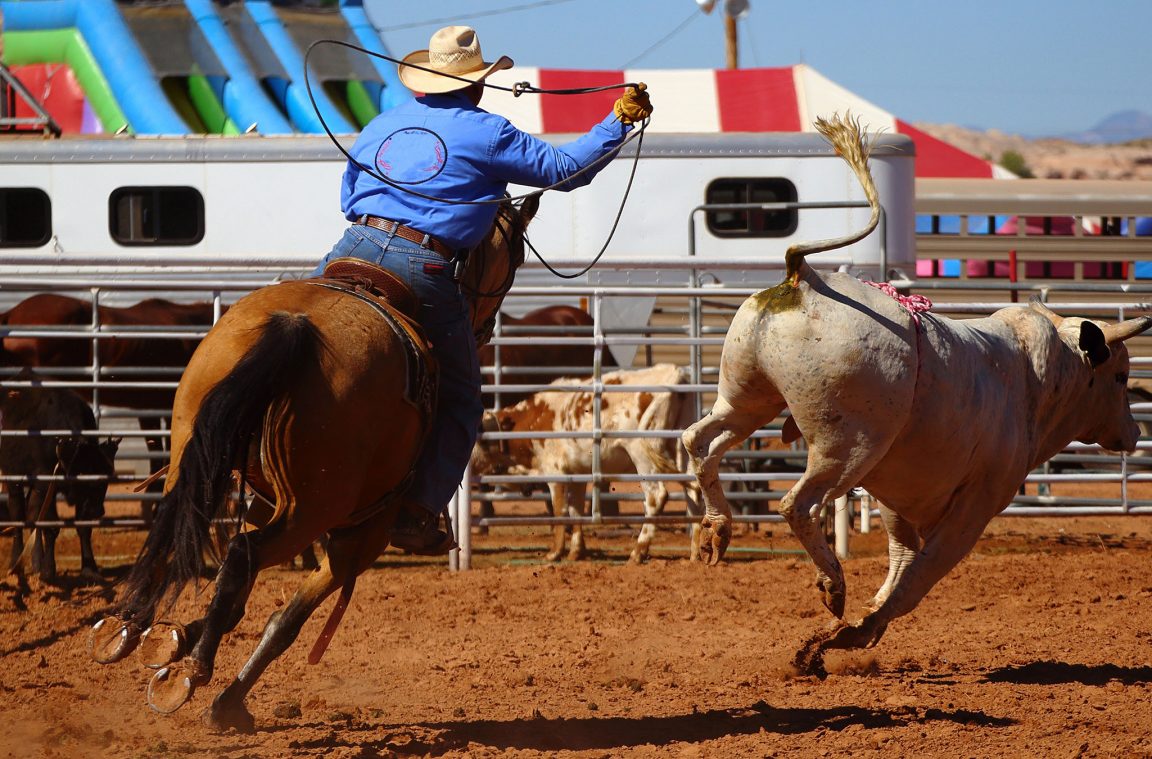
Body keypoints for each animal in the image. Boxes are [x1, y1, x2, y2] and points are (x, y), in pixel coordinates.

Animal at [89, 199, 539, 732]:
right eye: (513, 262)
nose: (484, 329)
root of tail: (295, 326)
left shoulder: (275, 509)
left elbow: (238, 605)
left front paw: (175, 639)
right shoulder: (359, 540)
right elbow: (285, 621)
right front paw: (226, 701)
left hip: (197, 461)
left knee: (176, 531)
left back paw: (125, 628)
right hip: (313, 511)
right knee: (241, 552)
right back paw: (192, 672)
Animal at [470, 361, 700, 564]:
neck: (535, 419)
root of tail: (673, 373)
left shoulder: (555, 473)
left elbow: (559, 511)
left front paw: (555, 553)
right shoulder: (577, 474)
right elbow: (575, 510)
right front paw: (576, 551)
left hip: (641, 452)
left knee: (656, 496)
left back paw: (638, 552)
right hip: (682, 448)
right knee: (693, 491)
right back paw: (696, 553)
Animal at [677, 112, 1147, 677]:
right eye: (1120, 376)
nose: (1134, 431)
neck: (1036, 380)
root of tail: (804, 277)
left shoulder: (897, 500)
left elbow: (901, 563)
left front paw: (857, 629)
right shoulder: (976, 505)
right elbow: (917, 579)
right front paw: (850, 633)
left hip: (748, 396)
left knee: (700, 440)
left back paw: (716, 530)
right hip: (845, 446)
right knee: (798, 504)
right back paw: (832, 583)